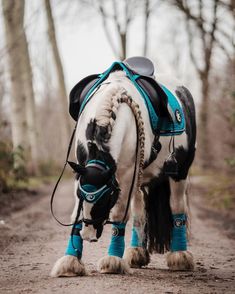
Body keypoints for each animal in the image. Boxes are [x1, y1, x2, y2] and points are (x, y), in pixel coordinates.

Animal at [50, 57, 196, 278]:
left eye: (106, 198)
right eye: (83, 196)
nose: (88, 235)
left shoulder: (126, 175)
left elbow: (119, 214)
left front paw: (113, 260)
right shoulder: (81, 172)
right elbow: (76, 214)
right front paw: (71, 261)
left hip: (179, 173)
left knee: (177, 208)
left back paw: (180, 257)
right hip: (142, 179)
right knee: (139, 214)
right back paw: (136, 253)